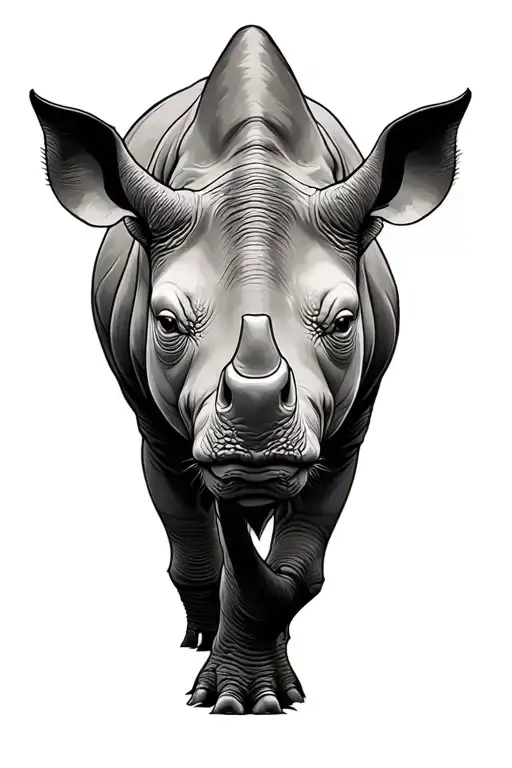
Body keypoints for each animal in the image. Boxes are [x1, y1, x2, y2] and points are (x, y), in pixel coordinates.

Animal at [31, 25, 470, 715]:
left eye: (345, 323)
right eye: (166, 324)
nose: (255, 439)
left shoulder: (348, 423)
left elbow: (300, 561)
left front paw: (257, 698)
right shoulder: (164, 419)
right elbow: (193, 511)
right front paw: (228, 686)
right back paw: (201, 632)